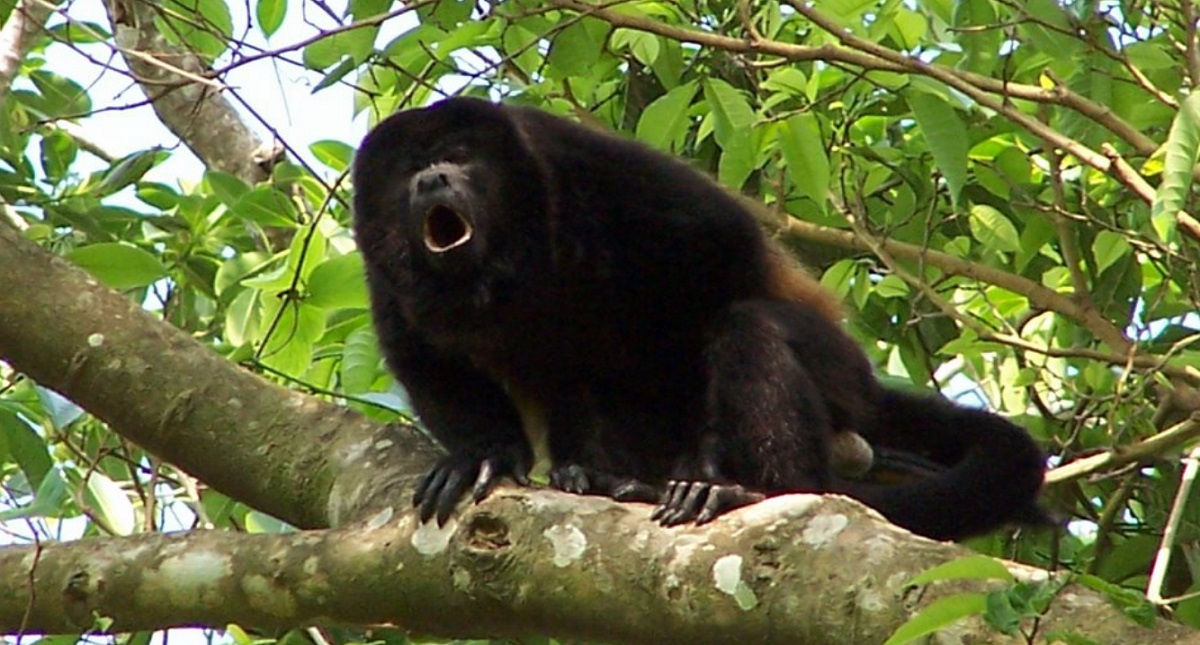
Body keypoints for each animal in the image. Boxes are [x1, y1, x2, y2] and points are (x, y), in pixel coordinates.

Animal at [352, 96, 1047, 540]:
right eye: (408, 169)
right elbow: (421, 355)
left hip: (841, 373)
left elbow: (721, 255)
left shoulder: (581, 165)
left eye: (460, 155)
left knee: (750, 329)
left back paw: (758, 491)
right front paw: (482, 455)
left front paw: (710, 467)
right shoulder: (383, 269)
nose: (433, 179)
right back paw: (602, 477)